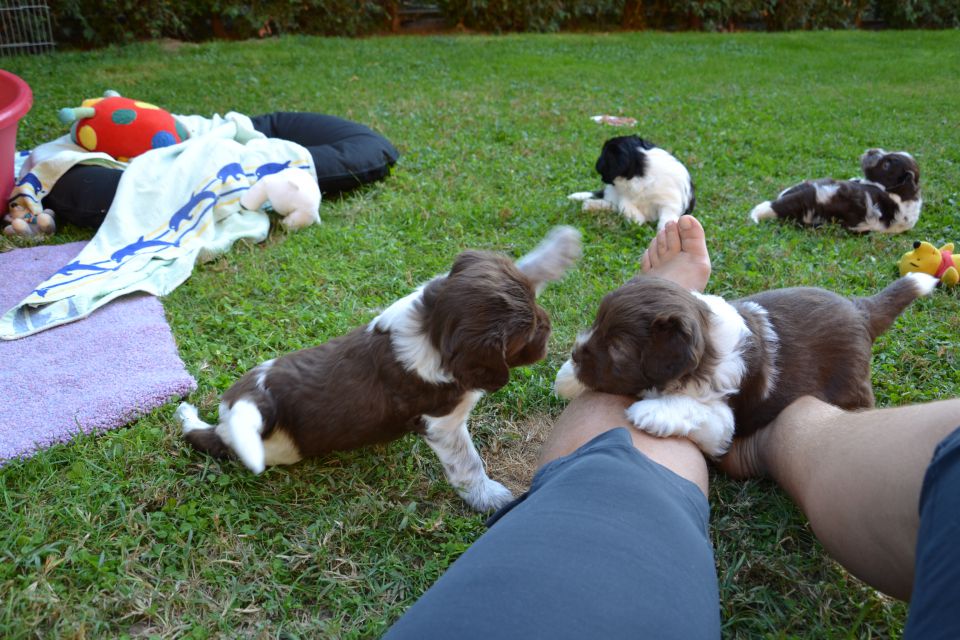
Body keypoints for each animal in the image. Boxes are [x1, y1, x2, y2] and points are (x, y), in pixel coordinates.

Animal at [178, 225, 584, 510]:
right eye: (529, 333)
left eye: (535, 309)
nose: (548, 328)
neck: (432, 331)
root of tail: (256, 400)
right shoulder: (443, 425)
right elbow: (468, 464)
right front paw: (488, 497)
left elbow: (524, 265)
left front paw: (560, 248)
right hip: (272, 446)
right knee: (215, 439)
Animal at [556, 272, 936, 458]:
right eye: (597, 323)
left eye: (617, 348)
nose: (575, 354)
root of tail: (861, 310)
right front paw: (568, 376)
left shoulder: (723, 423)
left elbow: (693, 408)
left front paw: (652, 411)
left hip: (849, 386)